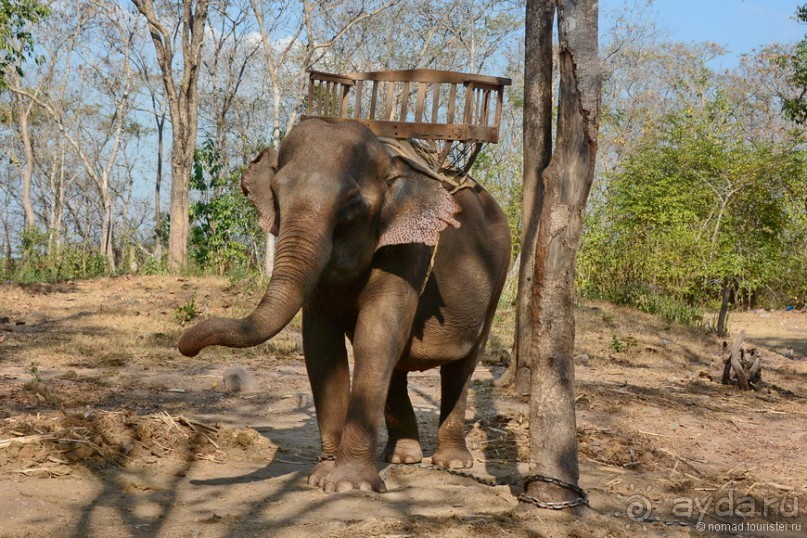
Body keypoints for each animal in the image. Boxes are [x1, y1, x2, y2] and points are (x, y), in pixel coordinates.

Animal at [181, 119, 512, 492]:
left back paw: (452, 462)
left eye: (352, 206)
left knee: (461, 366)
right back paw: (403, 458)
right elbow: (321, 346)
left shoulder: (411, 250)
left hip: (498, 275)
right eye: (277, 195)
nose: (187, 347)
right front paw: (320, 477)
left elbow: (377, 335)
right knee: (398, 367)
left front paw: (350, 485)